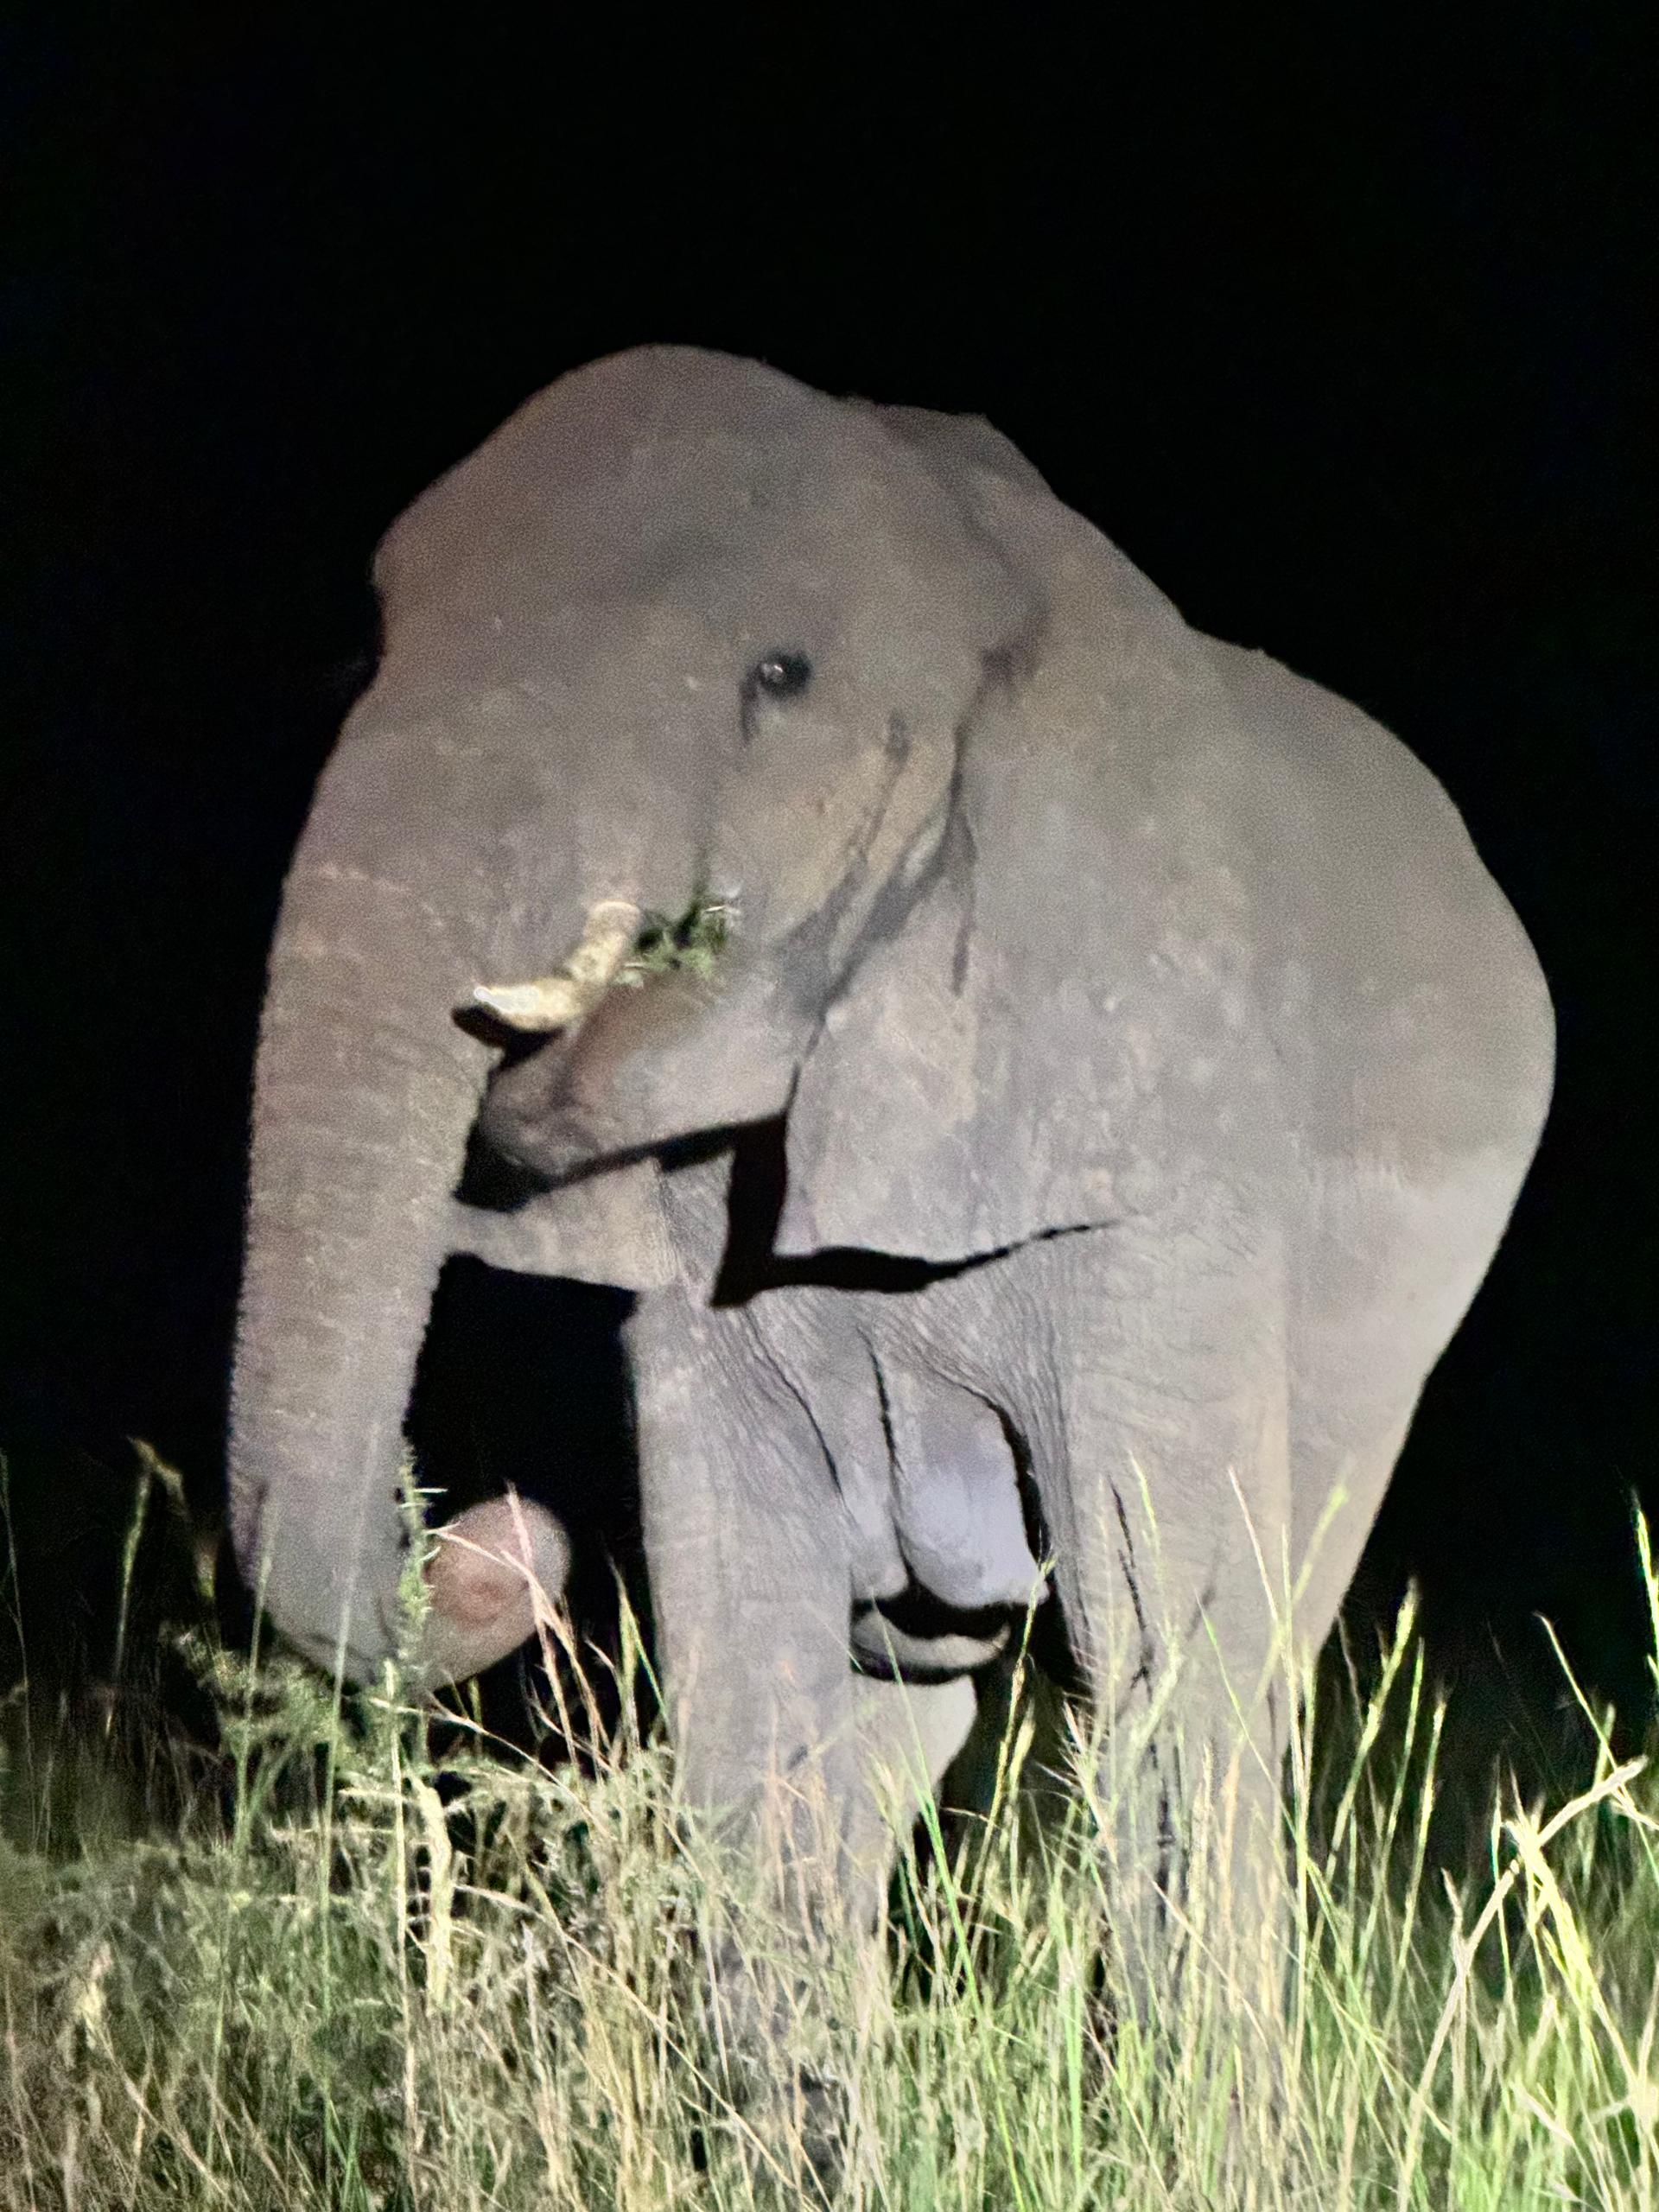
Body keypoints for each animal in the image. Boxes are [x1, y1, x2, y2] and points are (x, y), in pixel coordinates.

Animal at [229, 344, 1552, 2047]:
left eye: (780, 676)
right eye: (373, 647)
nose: (506, 1534)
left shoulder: (1168, 1148)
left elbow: (1162, 1657)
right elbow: (753, 1663)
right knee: (901, 1711)